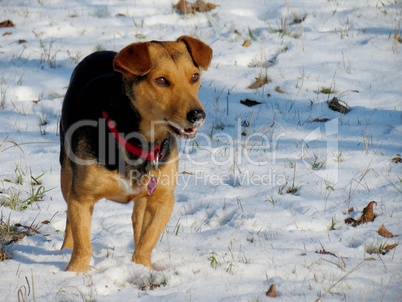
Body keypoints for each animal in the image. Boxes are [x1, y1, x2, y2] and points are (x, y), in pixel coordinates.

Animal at [59, 35, 212, 272]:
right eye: (161, 81)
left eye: (195, 77)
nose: (197, 115)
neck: (140, 142)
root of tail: (101, 52)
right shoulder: (81, 198)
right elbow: (83, 244)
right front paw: (75, 272)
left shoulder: (163, 198)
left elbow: (148, 239)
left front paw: (142, 267)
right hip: (66, 173)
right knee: (68, 219)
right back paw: (64, 250)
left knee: (137, 220)